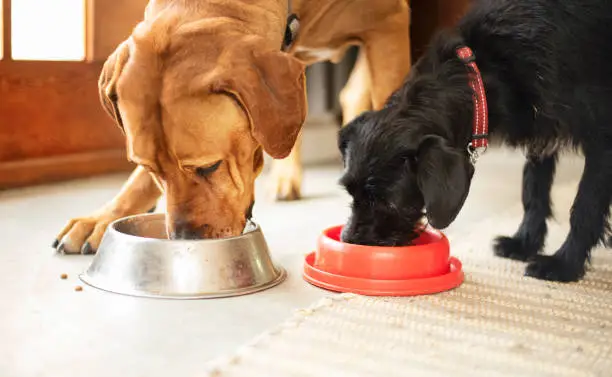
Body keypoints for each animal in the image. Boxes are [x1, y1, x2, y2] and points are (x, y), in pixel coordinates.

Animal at [338, 0, 612, 282]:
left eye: (388, 203)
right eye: (350, 192)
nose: (349, 240)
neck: (484, 69)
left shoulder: (602, 140)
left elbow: (585, 206)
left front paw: (564, 264)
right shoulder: (541, 129)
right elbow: (534, 187)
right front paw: (524, 243)